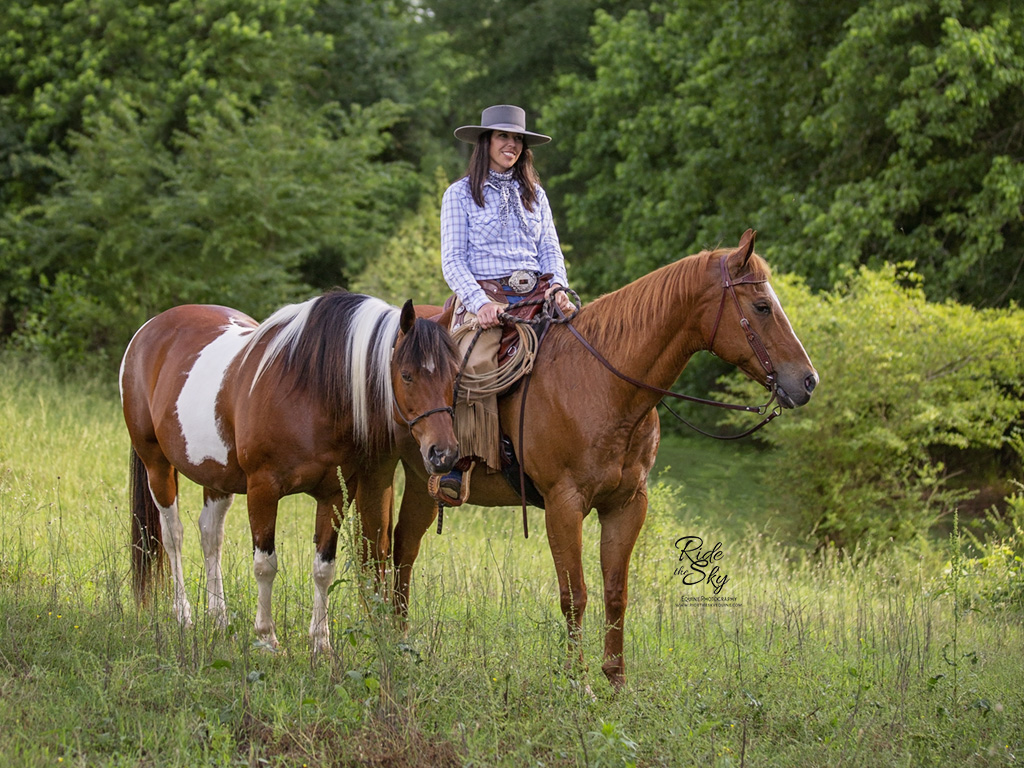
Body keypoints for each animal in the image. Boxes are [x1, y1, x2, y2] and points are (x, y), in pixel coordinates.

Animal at [117, 290, 458, 651]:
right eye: (406, 375)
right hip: (157, 465)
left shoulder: (335, 494)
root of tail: (149, 330)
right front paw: (267, 638)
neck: (310, 392)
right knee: (173, 536)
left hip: (217, 477)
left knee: (210, 536)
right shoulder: (262, 490)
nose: (443, 453)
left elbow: (323, 568)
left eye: (455, 374)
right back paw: (183, 615)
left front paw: (321, 643)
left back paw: (219, 619)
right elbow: (265, 564)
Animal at [389, 230, 815, 692]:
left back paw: (398, 637)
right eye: (762, 306)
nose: (808, 381)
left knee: (403, 548)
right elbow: (575, 594)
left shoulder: (627, 505)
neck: (601, 384)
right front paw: (579, 681)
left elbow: (616, 592)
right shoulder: (563, 504)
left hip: (420, 483)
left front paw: (615, 680)